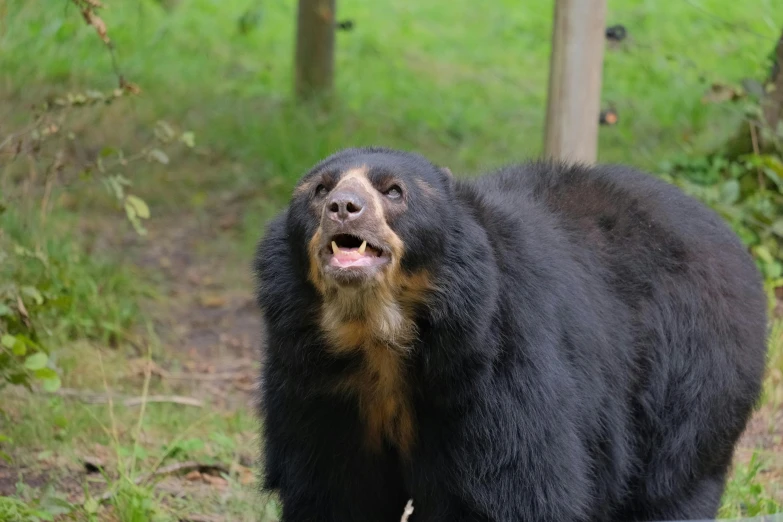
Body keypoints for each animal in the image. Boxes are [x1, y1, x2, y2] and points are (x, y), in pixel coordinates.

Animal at [254, 147, 768, 520]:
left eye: (394, 191)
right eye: (319, 189)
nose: (344, 208)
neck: (378, 339)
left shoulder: (502, 362)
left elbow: (519, 482)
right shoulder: (315, 387)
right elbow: (333, 490)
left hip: (692, 382)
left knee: (671, 488)